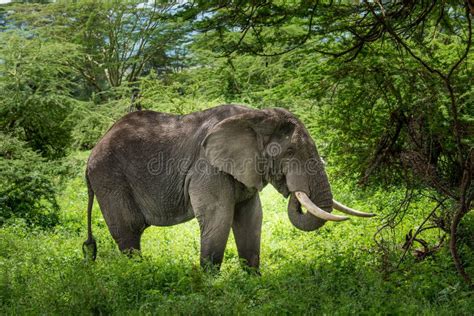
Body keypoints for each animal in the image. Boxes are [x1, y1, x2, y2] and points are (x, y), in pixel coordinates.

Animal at [84, 104, 374, 272]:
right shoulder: (207, 168)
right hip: (110, 178)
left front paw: (252, 282)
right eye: (290, 152)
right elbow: (219, 217)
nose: (293, 190)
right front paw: (211, 286)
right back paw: (139, 275)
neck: (255, 116)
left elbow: (251, 217)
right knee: (129, 231)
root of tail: (91, 155)